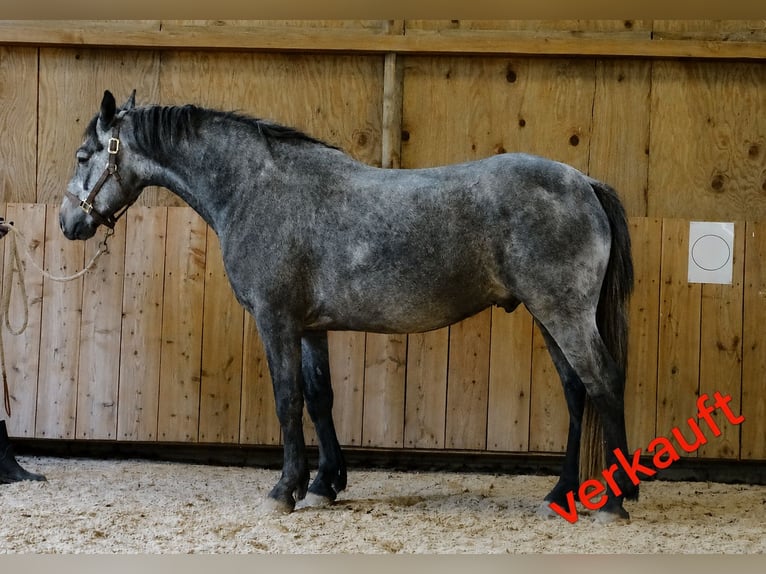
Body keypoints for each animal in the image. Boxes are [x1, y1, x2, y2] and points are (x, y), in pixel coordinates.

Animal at [60, 90, 636, 522]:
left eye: (84, 155)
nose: (68, 222)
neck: (255, 189)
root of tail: (583, 182)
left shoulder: (275, 320)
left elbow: (288, 399)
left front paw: (284, 491)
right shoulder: (310, 326)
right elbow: (320, 398)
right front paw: (323, 484)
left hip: (563, 313)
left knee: (602, 382)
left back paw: (613, 502)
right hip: (549, 316)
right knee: (576, 392)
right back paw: (560, 494)